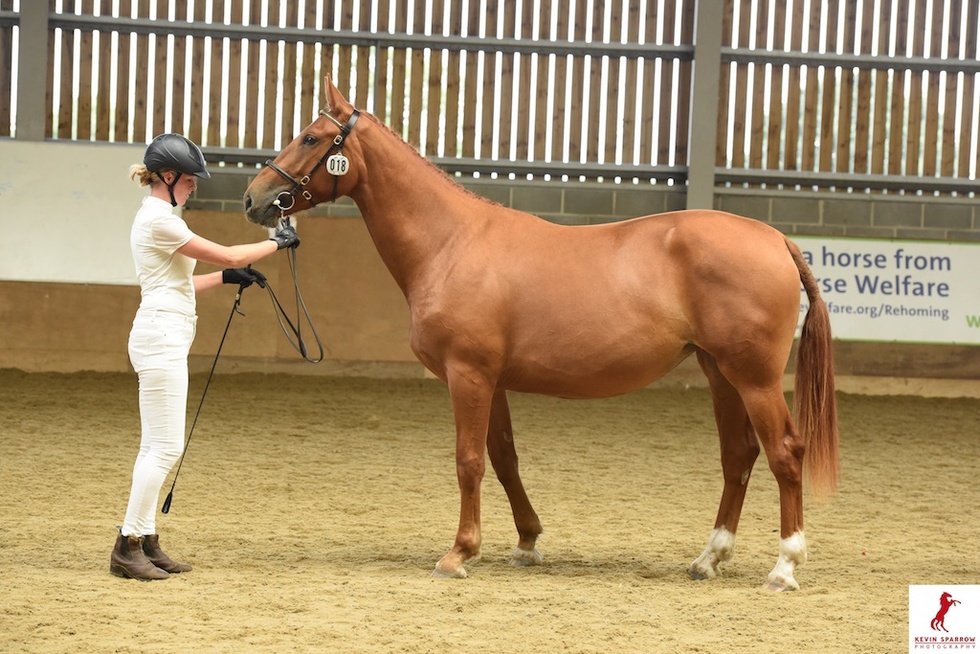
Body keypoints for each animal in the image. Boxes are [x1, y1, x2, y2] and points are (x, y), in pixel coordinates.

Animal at [243, 76, 839, 591]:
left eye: (311, 137)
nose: (254, 198)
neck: (451, 242)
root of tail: (774, 238)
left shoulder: (468, 375)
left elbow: (469, 461)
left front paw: (458, 553)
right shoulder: (493, 380)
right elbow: (504, 458)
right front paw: (527, 542)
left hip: (753, 377)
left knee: (785, 452)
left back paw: (785, 566)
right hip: (719, 372)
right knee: (738, 455)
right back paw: (709, 557)